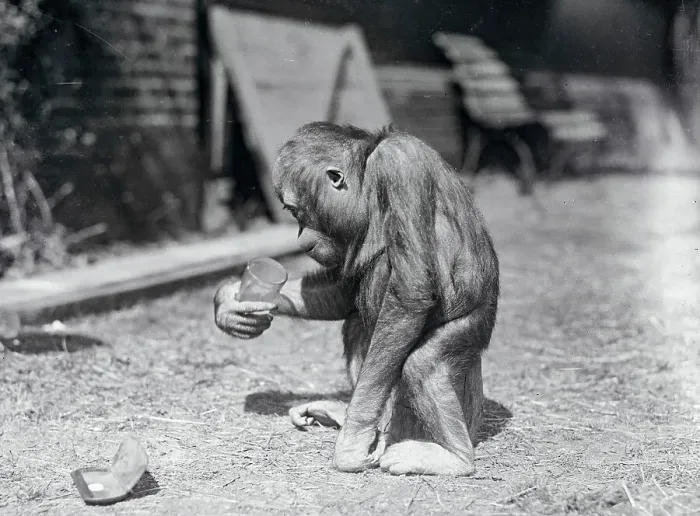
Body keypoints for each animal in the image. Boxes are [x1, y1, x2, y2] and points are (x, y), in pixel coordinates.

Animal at [214, 122, 499, 476]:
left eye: (296, 212)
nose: (301, 238)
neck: (368, 175)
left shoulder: (400, 166)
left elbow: (411, 291)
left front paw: (353, 439)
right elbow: (342, 293)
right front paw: (230, 305)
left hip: (472, 327)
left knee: (422, 359)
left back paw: (452, 456)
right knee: (357, 324)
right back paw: (356, 415)